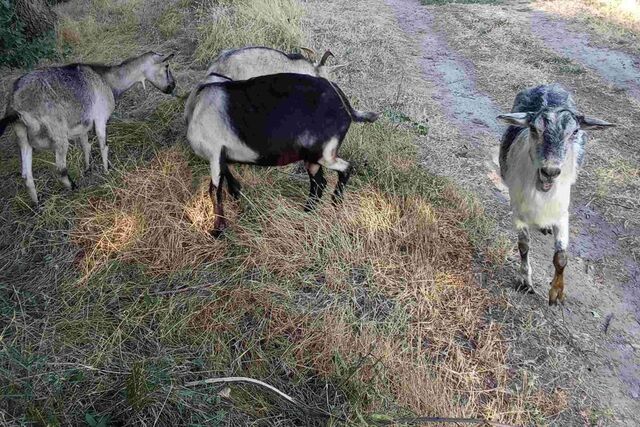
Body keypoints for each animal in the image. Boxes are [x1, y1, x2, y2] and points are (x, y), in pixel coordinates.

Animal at [0, 51, 175, 205]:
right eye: (166, 66)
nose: (172, 86)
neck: (107, 80)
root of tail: (14, 105)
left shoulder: (82, 124)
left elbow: (86, 145)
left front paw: (88, 168)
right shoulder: (100, 118)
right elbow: (103, 145)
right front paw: (107, 171)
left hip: (22, 135)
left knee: (26, 176)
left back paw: (37, 204)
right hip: (58, 133)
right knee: (60, 169)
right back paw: (74, 188)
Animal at [185, 72, 378, 236]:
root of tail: (345, 105)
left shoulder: (214, 152)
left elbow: (214, 191)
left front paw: (218, 231)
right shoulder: (222, 156)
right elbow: (229, 179)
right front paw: (237, 198)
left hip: (325, 154)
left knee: (345, 168)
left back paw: (335, 203)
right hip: (311, 157)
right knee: (319, 183)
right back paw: (307, 212)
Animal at [496, 83, 616, 304]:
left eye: (575, 131)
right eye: (534, 129)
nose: (550, 171)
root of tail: (547, 85)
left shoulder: (562, 212)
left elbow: (561, 256)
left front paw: (556, 293)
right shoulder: (517, 208)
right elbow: (523, 245)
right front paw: (525, 282)